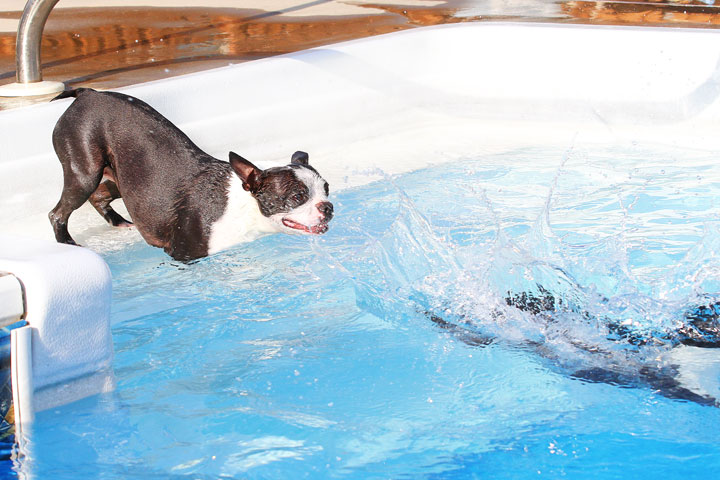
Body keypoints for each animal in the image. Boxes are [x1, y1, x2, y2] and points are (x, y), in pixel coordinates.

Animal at [47, 89, 334, 262]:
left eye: (327, 190)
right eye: (297, 196)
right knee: (59, 212)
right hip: (85, 170)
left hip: (121, 179)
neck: (244, 208)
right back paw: (68, 243)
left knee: (99, 197)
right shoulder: (183, 254)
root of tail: (88, 93)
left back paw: (119, 222)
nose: (328, 207)